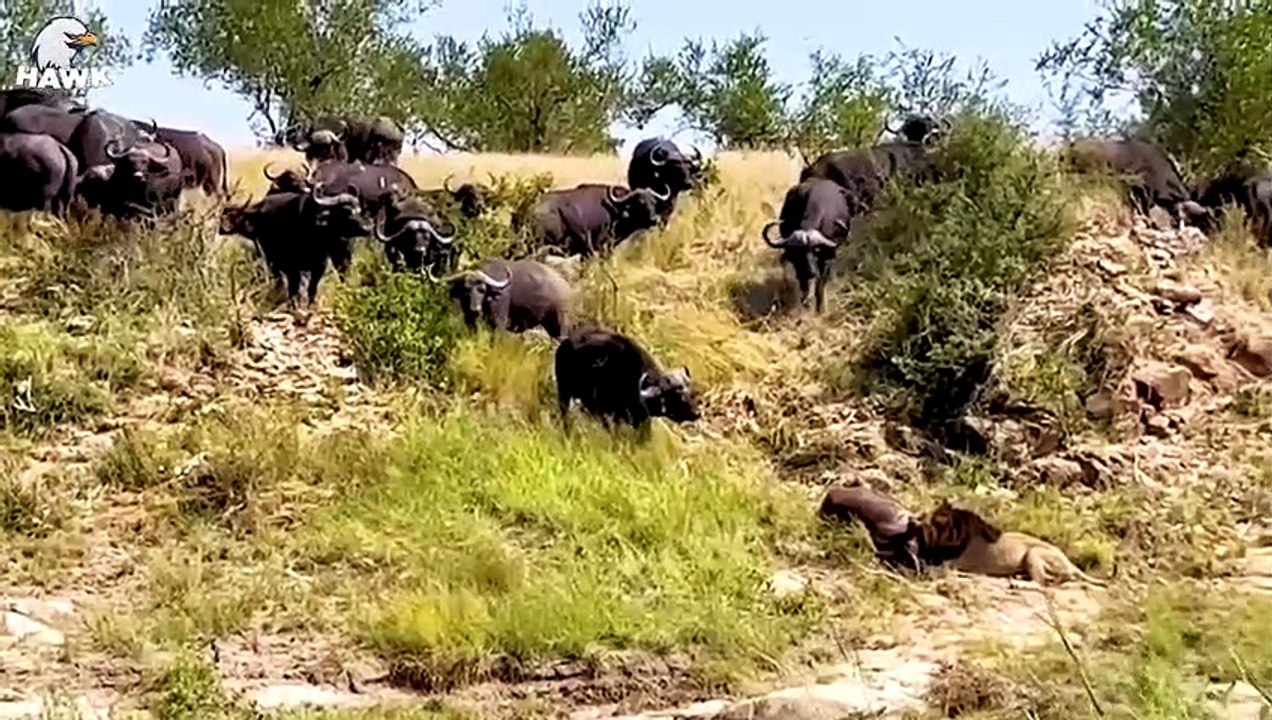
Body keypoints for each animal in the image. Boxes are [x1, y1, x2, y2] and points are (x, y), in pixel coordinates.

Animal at [762, 178, 852, 313]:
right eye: (798, 252)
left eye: (816, 250)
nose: (810, 272)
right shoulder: (798, 267)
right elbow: (804, 288)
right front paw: (806, 305)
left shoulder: (827, 260)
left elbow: (819, 288)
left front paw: (819, 310)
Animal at [918, 502, 1109, 587]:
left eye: (933, 519)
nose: (920, 519)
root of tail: (1070, 563)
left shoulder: (962, 561)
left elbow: (941, 565)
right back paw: (1019, 576)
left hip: (1033, 553)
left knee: (1042, 582)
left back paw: (1018, 583)